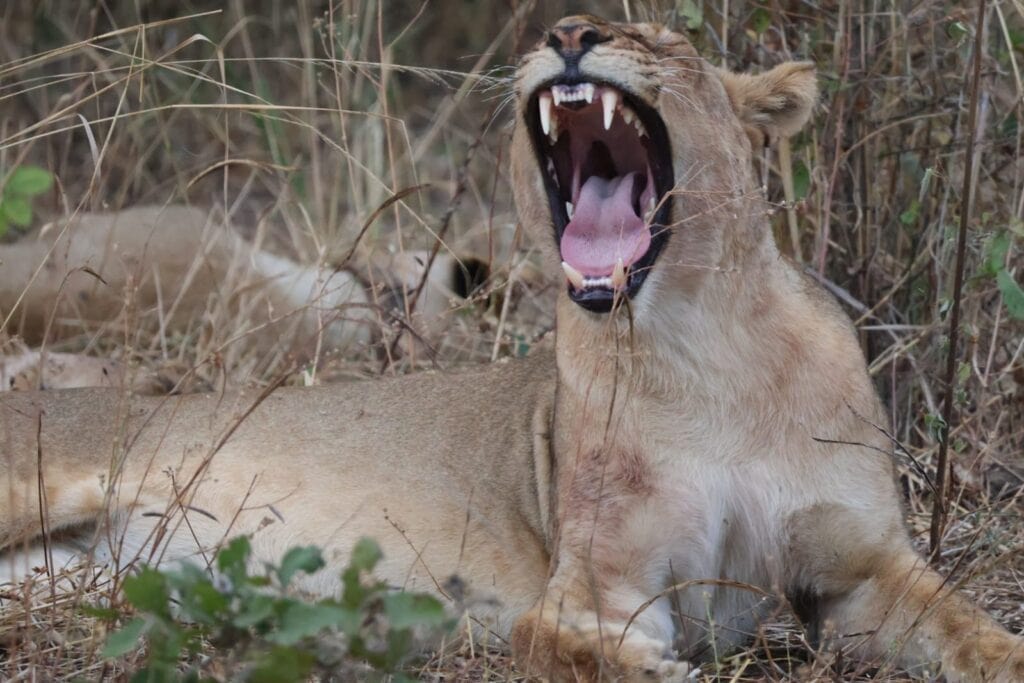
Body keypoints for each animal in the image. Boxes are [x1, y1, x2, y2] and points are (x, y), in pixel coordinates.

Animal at [2, 15, 1022, 682]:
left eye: (661, 41)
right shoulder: (597, 583)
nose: (568, 31)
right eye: (562, 24)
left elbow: (969, 624)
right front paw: (654, 668)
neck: (706, 345)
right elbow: (553, 639)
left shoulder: (862, 566)